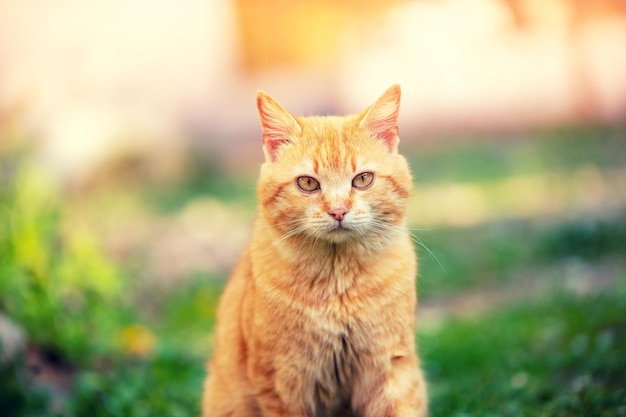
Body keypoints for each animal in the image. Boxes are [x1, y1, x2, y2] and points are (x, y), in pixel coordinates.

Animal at [202, 84, 426, 416]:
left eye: (363, 179)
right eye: (308, 183)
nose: (338, 211)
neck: (337, 284)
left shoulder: (391, 367)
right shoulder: (280, 379)